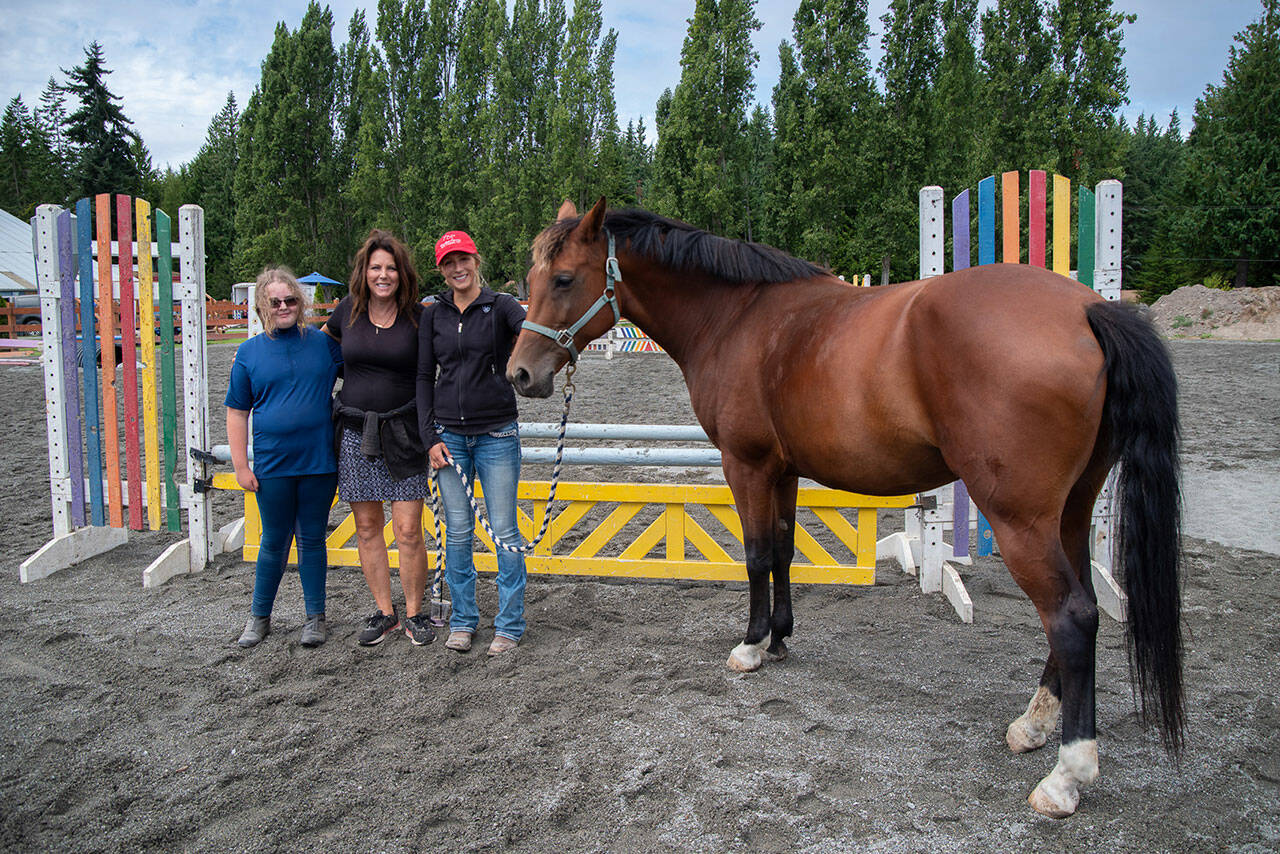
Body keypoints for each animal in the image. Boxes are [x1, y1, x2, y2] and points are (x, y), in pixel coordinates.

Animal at [504, 197, 1182, 819]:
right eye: (532, 281)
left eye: (562, 279)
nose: (519, 374)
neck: (737, 317)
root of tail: (1087, 309)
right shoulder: (783, 471)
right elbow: (782, 550)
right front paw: (779, 639)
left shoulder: (746, 465)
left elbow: (756, 554)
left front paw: (750, 646)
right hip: (1069, 512)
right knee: (1081, 604)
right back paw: (1034, 726)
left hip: (1020, 520)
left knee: (1070, 616)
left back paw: (1066, 776)